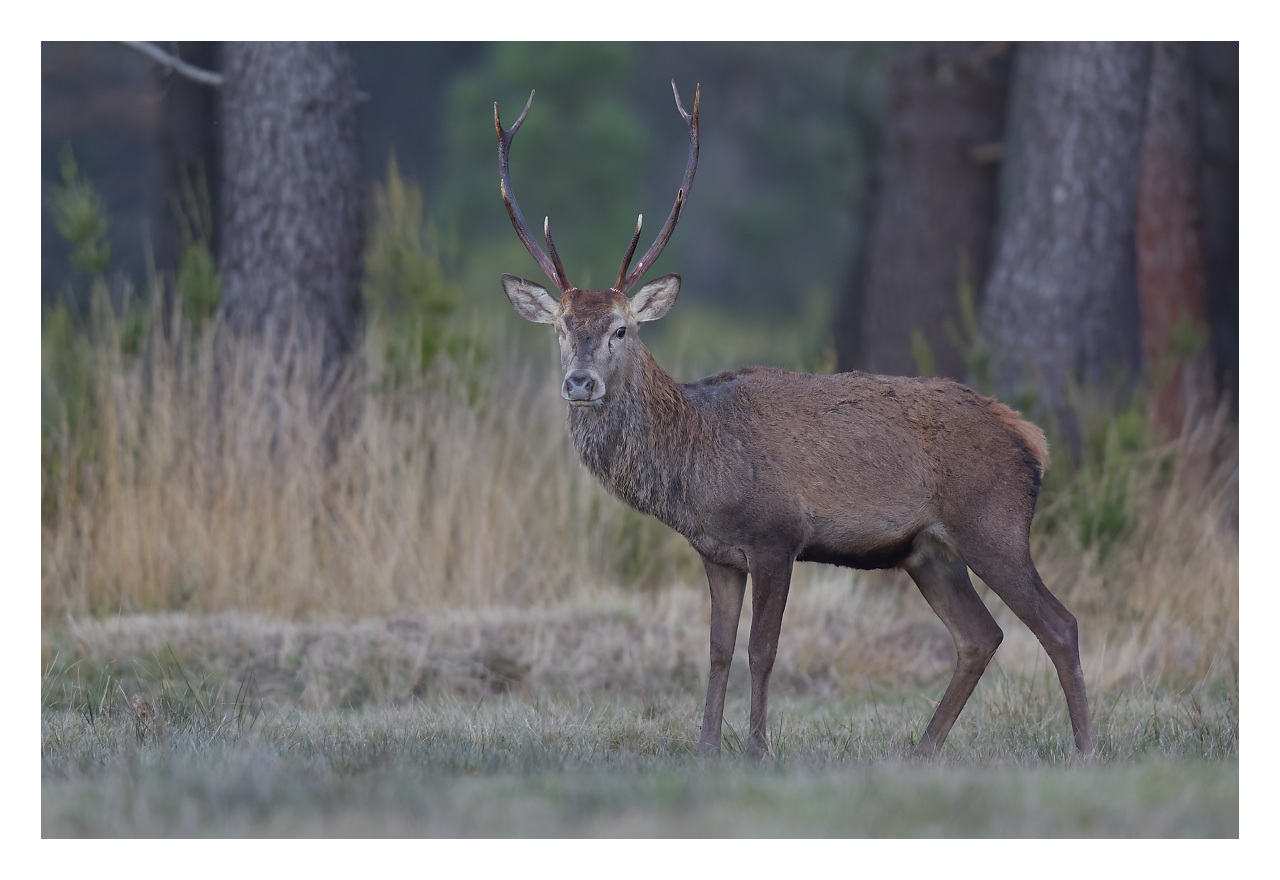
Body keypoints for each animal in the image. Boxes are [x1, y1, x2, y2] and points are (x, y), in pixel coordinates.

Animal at [494, 81, 1092, 761]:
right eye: (562, 329)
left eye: (622, 328)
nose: (580, 383)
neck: (700, 467)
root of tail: (1031, 438)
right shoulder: (717, 553)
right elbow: (717, 650)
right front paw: (706, 748)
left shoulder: (777, 535)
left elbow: (762, 650)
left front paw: (757, 747)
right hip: (929, 552)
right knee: (980, 635)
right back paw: (922, 750)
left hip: (994, 524)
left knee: (1059, 623)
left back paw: (1084, 748)